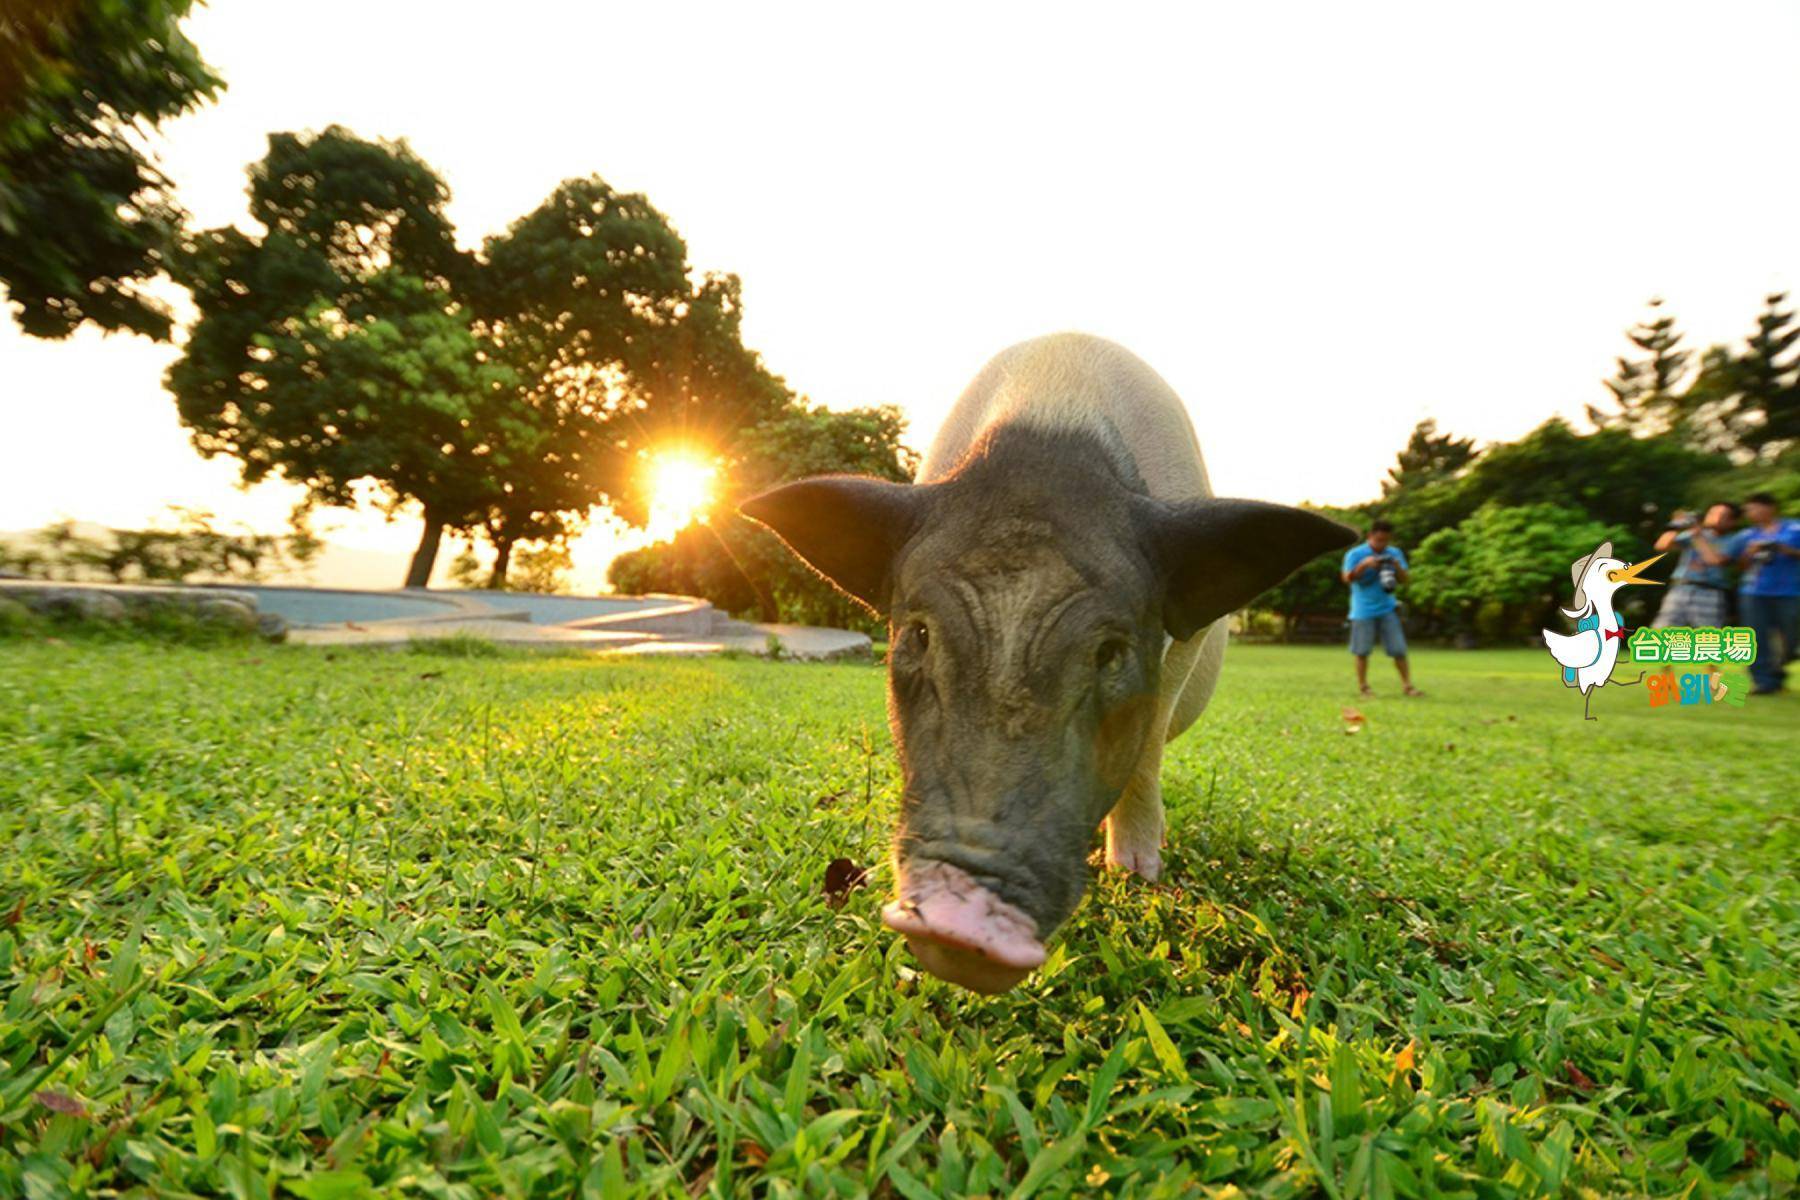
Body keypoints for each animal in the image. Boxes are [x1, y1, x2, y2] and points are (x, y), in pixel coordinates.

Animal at [734, 332, 1353, 993]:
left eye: (1110, 652)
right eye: (920, 634)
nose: (960, 920)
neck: (1056, 413)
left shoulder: (1185, 646)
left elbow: (1146, 751)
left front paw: (1137, 875)